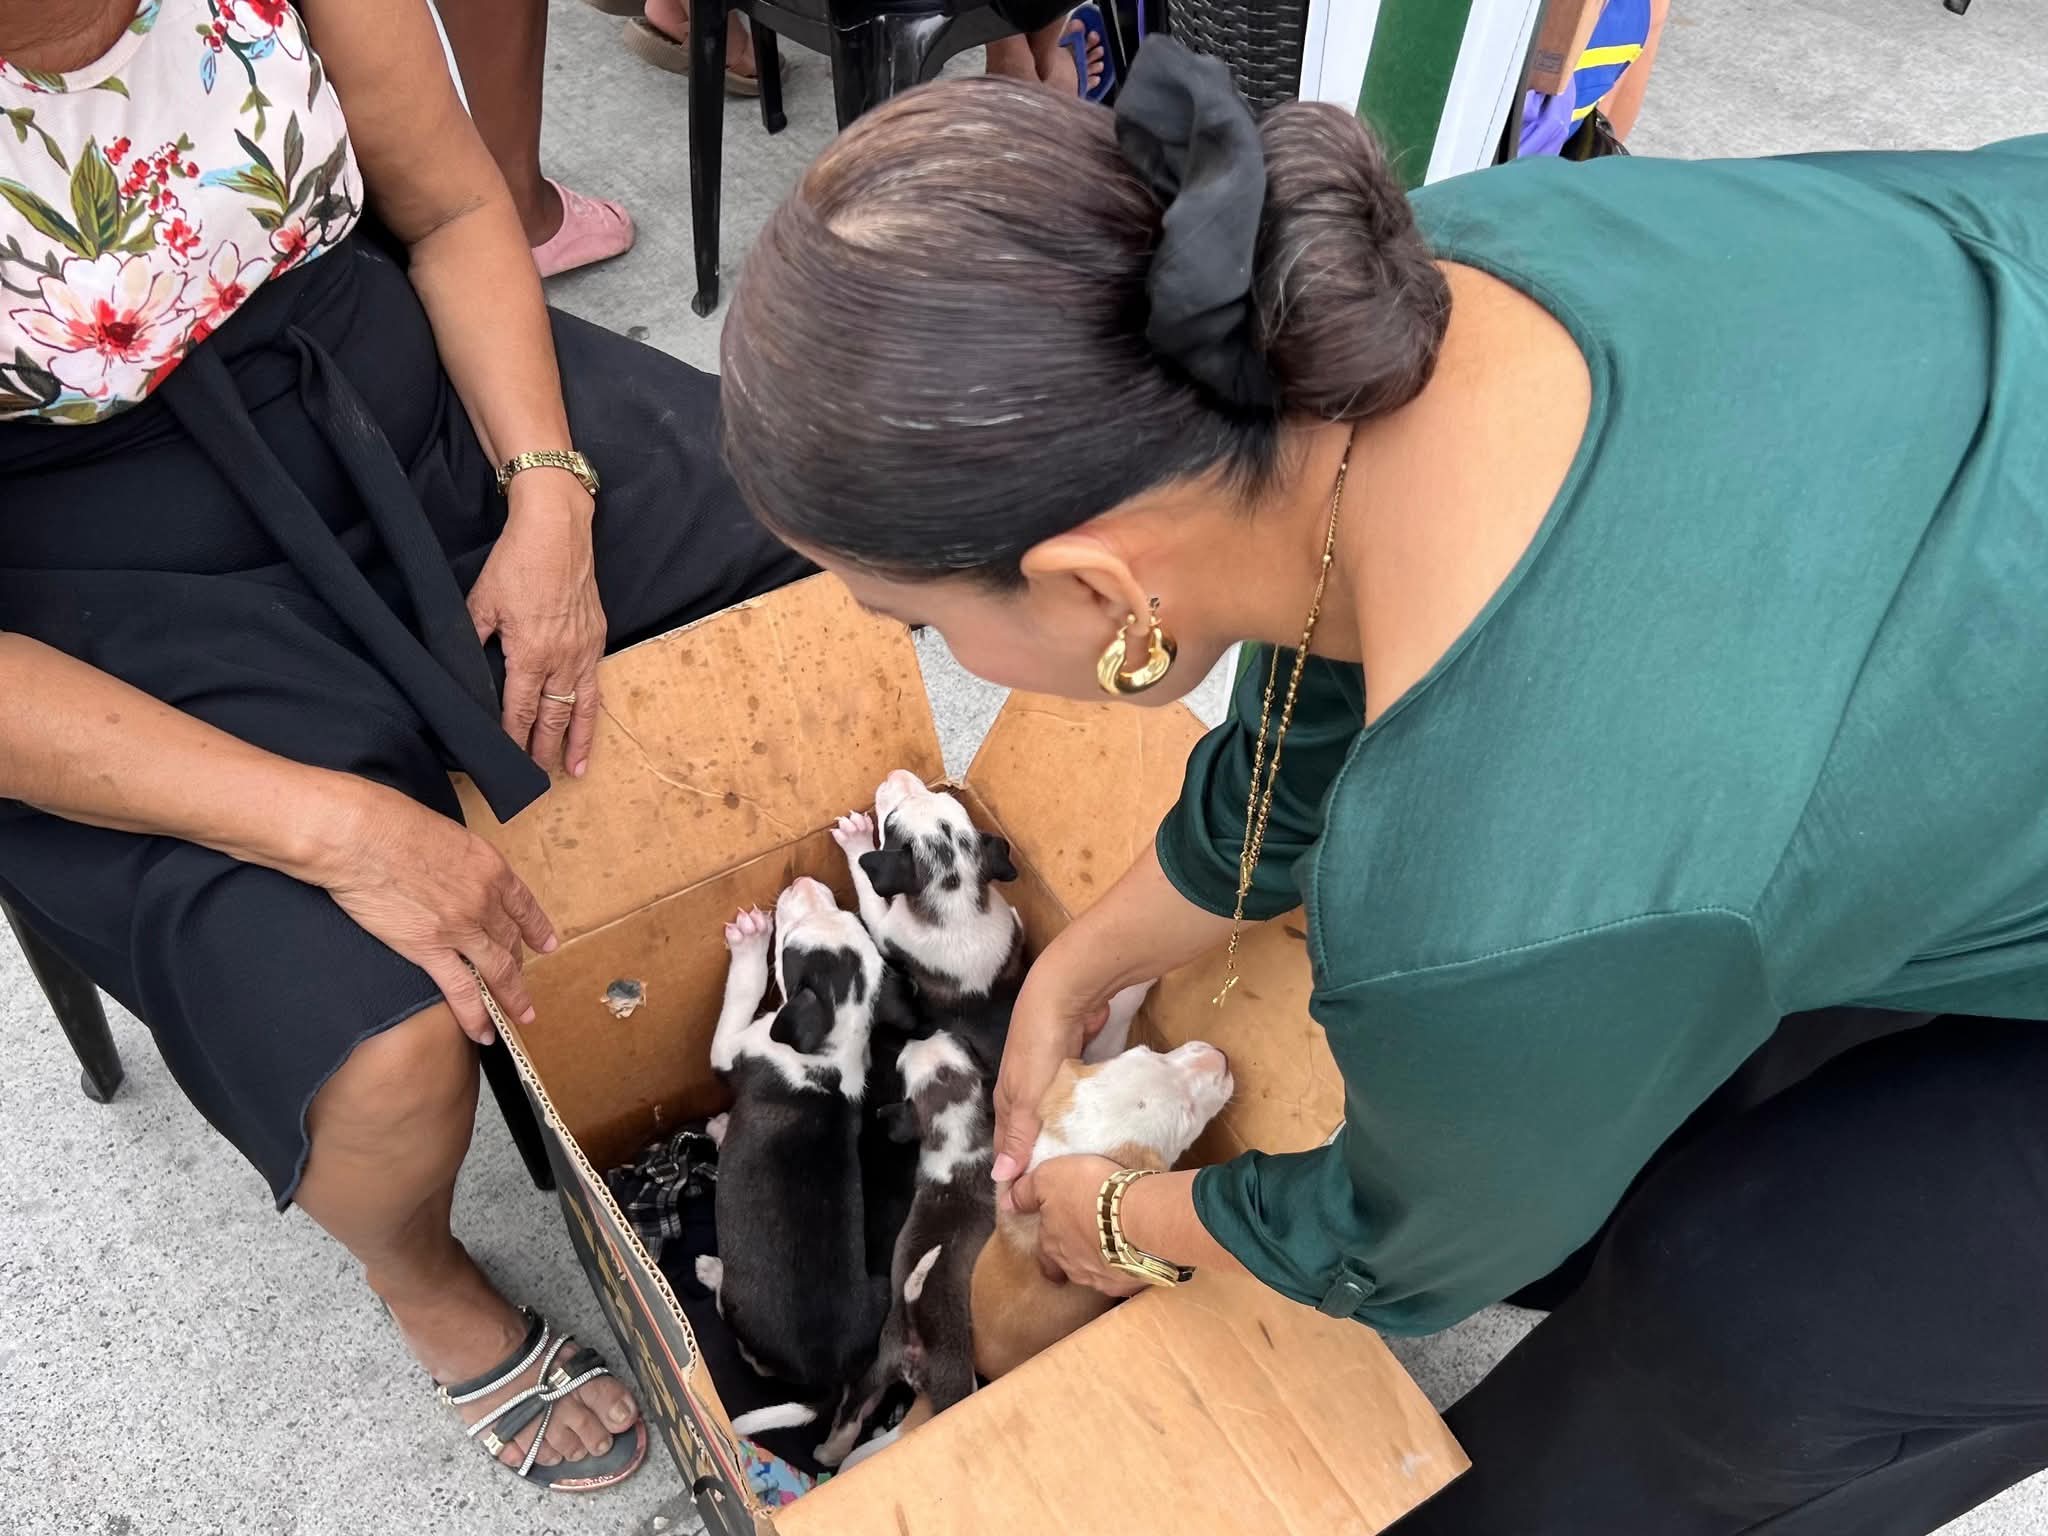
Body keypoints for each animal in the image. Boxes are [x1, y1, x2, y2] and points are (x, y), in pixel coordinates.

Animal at [699, 880, 892, 1391]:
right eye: (847, 912)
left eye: (786, 945)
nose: (803, 882)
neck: (829, 1046)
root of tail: (823, 1371)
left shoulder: (730, 1048)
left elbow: (742, 991)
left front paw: (749, 941)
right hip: (883, 1289)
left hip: (740, 1311)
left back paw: (711, 1269)